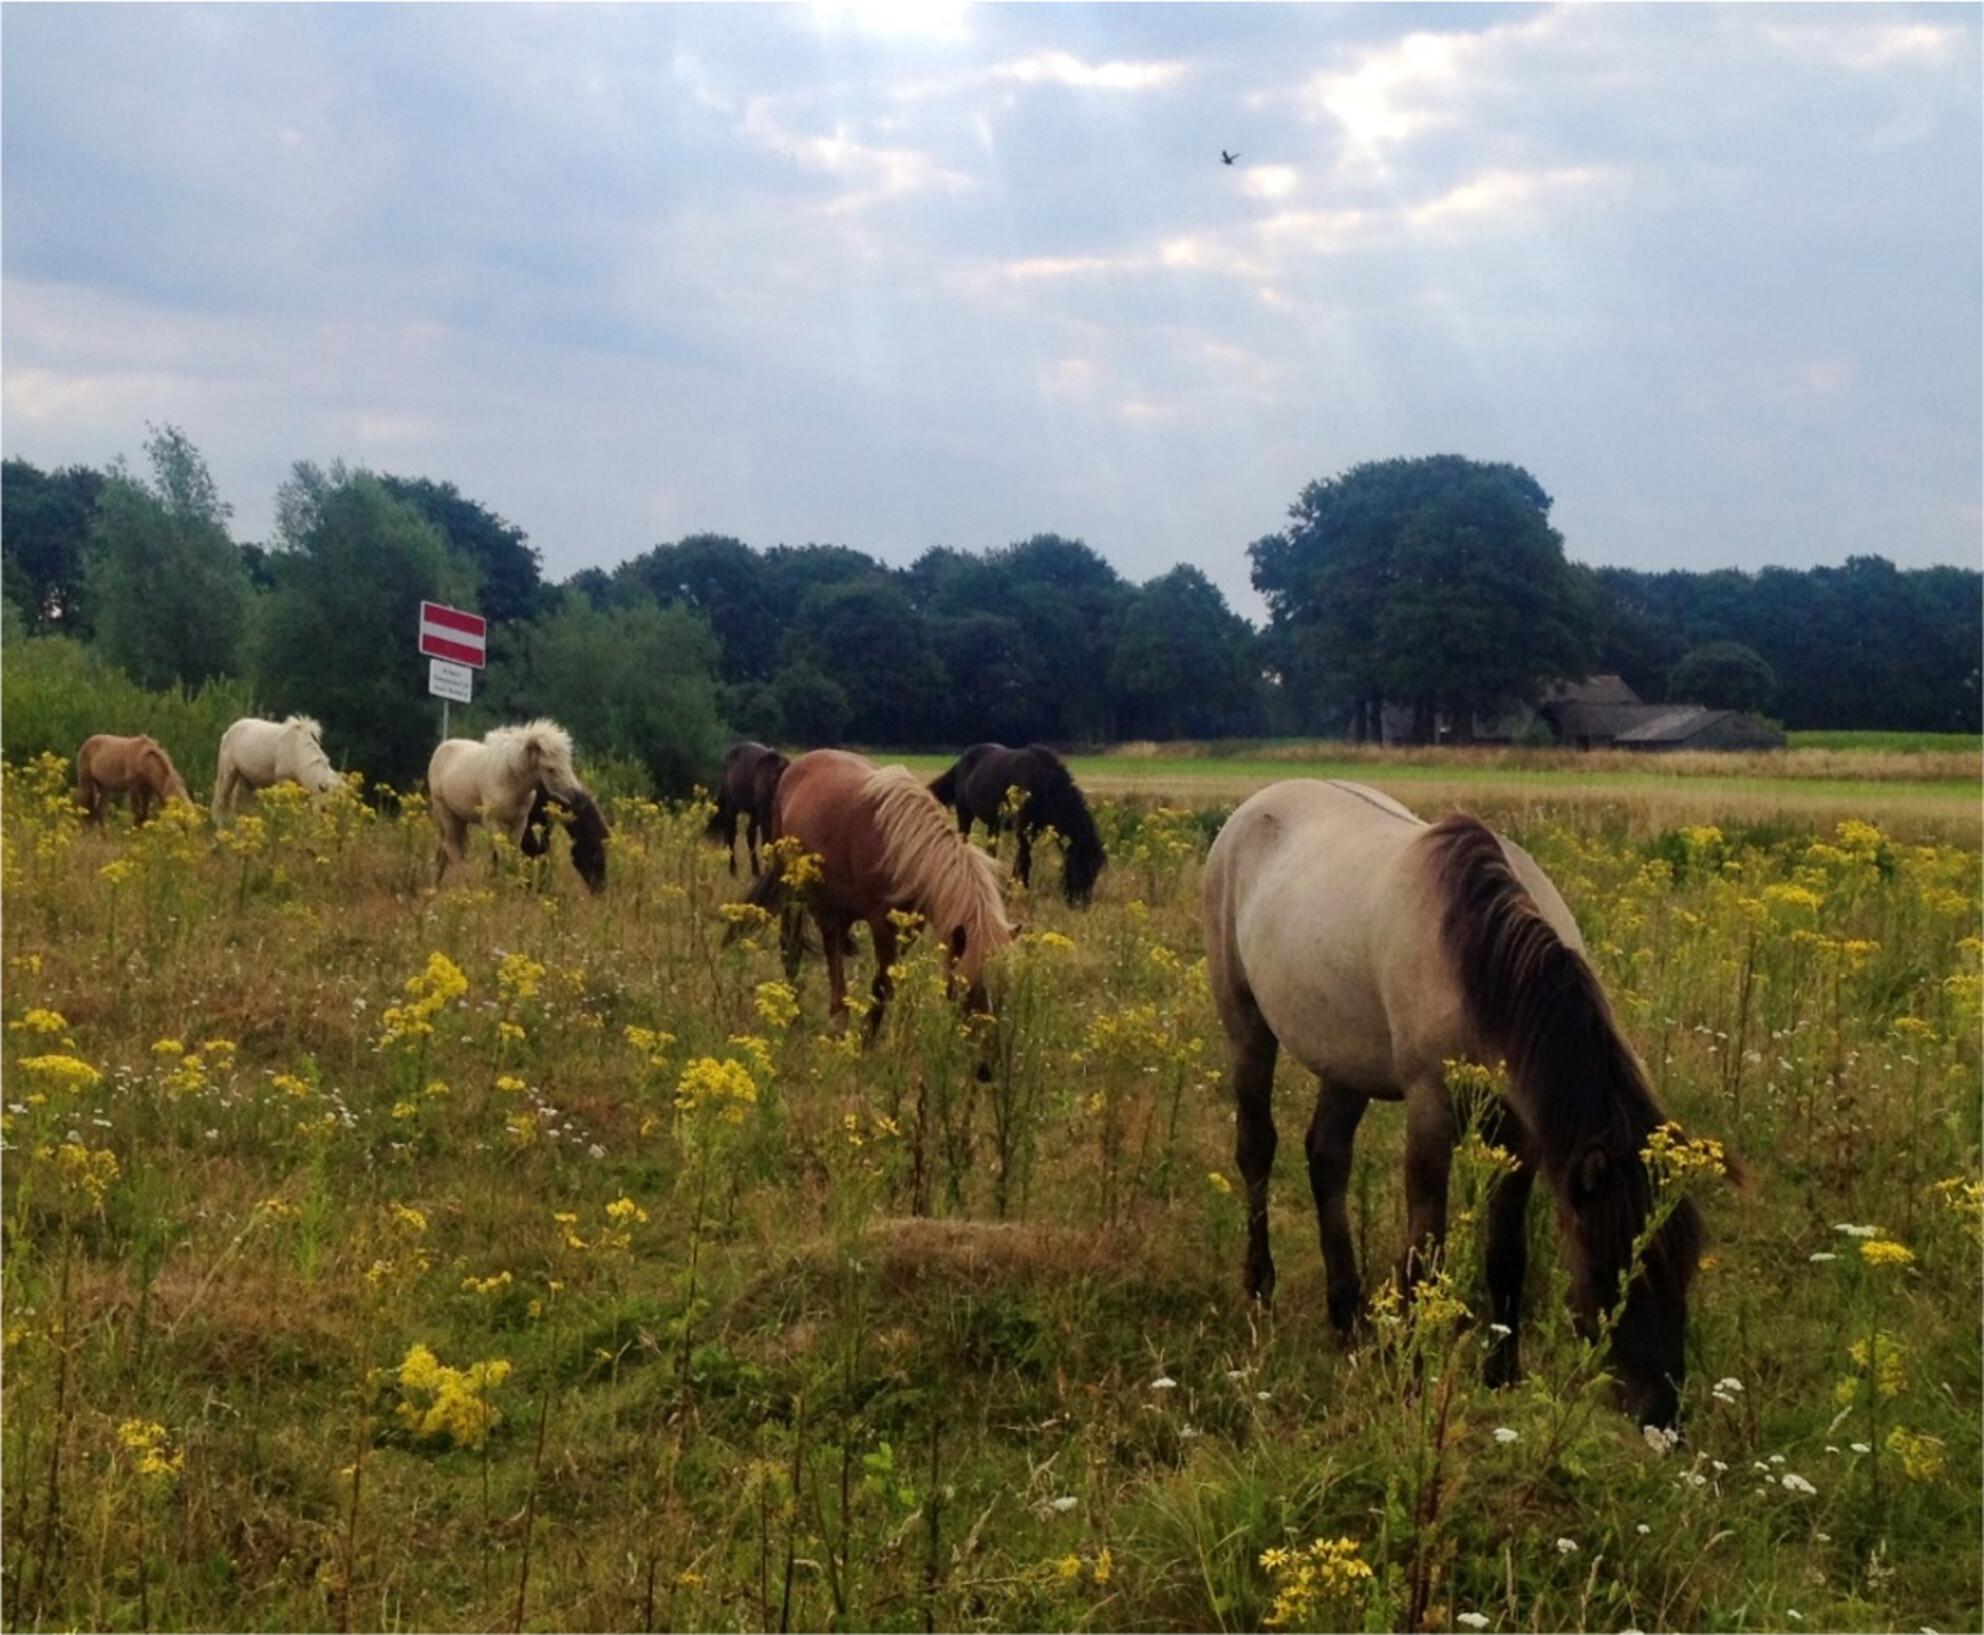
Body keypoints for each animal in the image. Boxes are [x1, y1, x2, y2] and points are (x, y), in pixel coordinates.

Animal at [215, 714, 347, 817]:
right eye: (325, 809)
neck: (296, 749)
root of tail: (228, 732)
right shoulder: (282, 781)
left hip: (247, 781)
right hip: (229, 775)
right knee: (221, 803)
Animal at [702, 742, 785, 873]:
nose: (710, 843)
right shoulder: (762, 812)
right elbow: (766, 841)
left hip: (749, 810)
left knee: (746, 834)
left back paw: (752, 870)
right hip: (736, 806)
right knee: (733, 832)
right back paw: (734, 870)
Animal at [749, 750, 1015, 1039]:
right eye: (965, 984)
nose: (986, 1042)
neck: (903, 850)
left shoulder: (909, 928)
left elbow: (886, 984)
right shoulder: (881, 925)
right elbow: (882, 988)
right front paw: (864, 1040)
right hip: (795, 892)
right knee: (794, 947)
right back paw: (800, 1017)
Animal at [924, 742, 1111, 908]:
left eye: (1095, 870)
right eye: (1079, 864)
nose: (1081, 904)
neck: (1044, 783)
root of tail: (961, 760)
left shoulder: (1034, 830)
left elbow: (1022, 859)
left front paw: (1013, 889)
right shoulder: (1023, 829)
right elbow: (1024, 859)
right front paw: (1018, 891)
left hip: (993, 824)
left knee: (991, 850)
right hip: (965, 814)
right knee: (964, 840)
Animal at [1198, 777, 1714, 1428]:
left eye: (1686, 1267)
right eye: (1609, 1265)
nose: (1662, 1414)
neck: (1477, 961)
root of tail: (1253, 807)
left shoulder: (1519, 1134)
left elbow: (1506, 1252)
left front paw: (1501, 1373)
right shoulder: (1430, 1111)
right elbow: (1427, 1247)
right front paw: (1413, 1376)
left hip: (1346, 1062)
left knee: (1327, 1158)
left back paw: (1347, 1313)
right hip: (1246, 1026)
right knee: (1257, 1150)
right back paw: (1261, 1286)